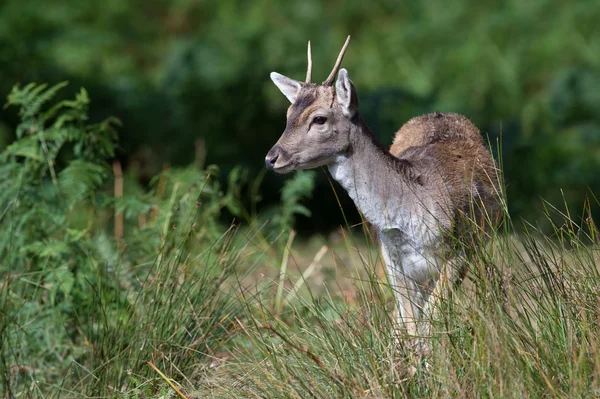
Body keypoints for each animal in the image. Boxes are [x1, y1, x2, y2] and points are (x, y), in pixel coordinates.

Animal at [264, 36, 500, 346]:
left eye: (319, 119)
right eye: (288, 114)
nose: (271, 157)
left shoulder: (460, 248)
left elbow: (431, 322)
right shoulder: (391, 256)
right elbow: (412, 323)